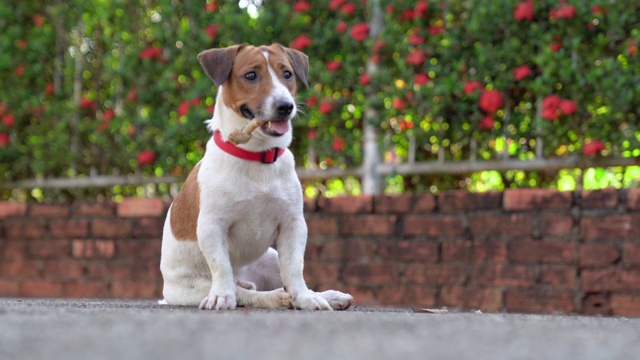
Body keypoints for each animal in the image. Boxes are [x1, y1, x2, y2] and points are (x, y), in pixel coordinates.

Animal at [158, 43, 352, 310]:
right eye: (250, 75)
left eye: (287, 74)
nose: (285, 106)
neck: (257, 157)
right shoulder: (212, 226)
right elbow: (221, 266)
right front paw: (221, 296)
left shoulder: (293, 224)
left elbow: (295, 268)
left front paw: (305, 298)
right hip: (194, 287)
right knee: (243, 293)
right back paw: (271, 297)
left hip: (270, 258)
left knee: (278, 280)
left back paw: (326, 295)